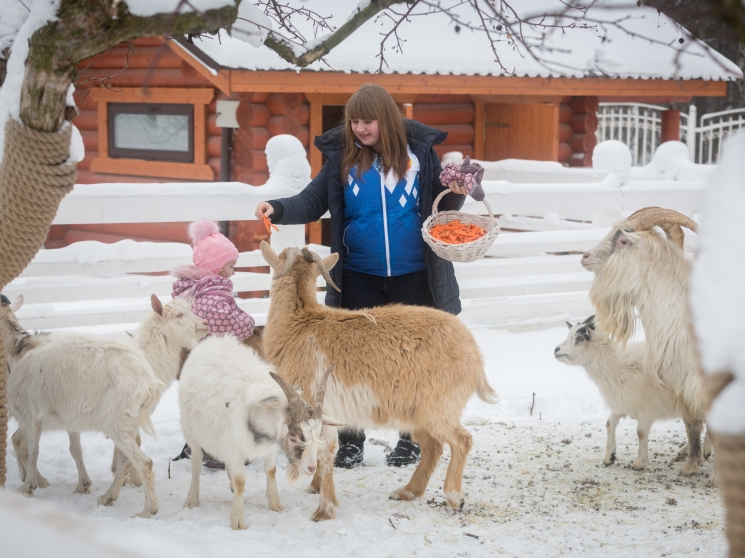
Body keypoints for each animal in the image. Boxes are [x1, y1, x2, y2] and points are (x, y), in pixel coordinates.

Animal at [177, 334, 340, 532]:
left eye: (317, 437)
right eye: (293, 438)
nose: (311, 468)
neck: (252, 414)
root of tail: (211, 341)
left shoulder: (269, 447)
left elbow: (271, 471)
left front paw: (276, 504)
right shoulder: (233, 449)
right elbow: (240, 480)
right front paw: (237, 521)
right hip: (190, 432)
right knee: (196, 461)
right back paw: (191, 498)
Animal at [258, 243, 496, 524]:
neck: (301, 323)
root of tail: (475, 355)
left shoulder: (318, 407)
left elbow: (325, 454)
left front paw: (324, 510)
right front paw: (315, 487)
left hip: (438, 408)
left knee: (461, 440)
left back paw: (454, 497)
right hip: (416, 414)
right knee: (433, 447)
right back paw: (407, 491)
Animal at [552, 318, 708, 470]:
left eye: (579, 338)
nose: (556, 350)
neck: (616, 366)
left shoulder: (646, 409)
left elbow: (641, 432)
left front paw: (640, 462)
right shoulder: (622, 405)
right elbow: (610, 423)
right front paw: (609, 457)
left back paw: (704, 451)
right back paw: (691, 450)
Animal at [580, 209, 704, 476]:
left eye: (623, 240)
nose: (585, 257)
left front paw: (691, 467)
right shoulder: (683, 384)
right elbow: (692, 422)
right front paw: (692, 462)